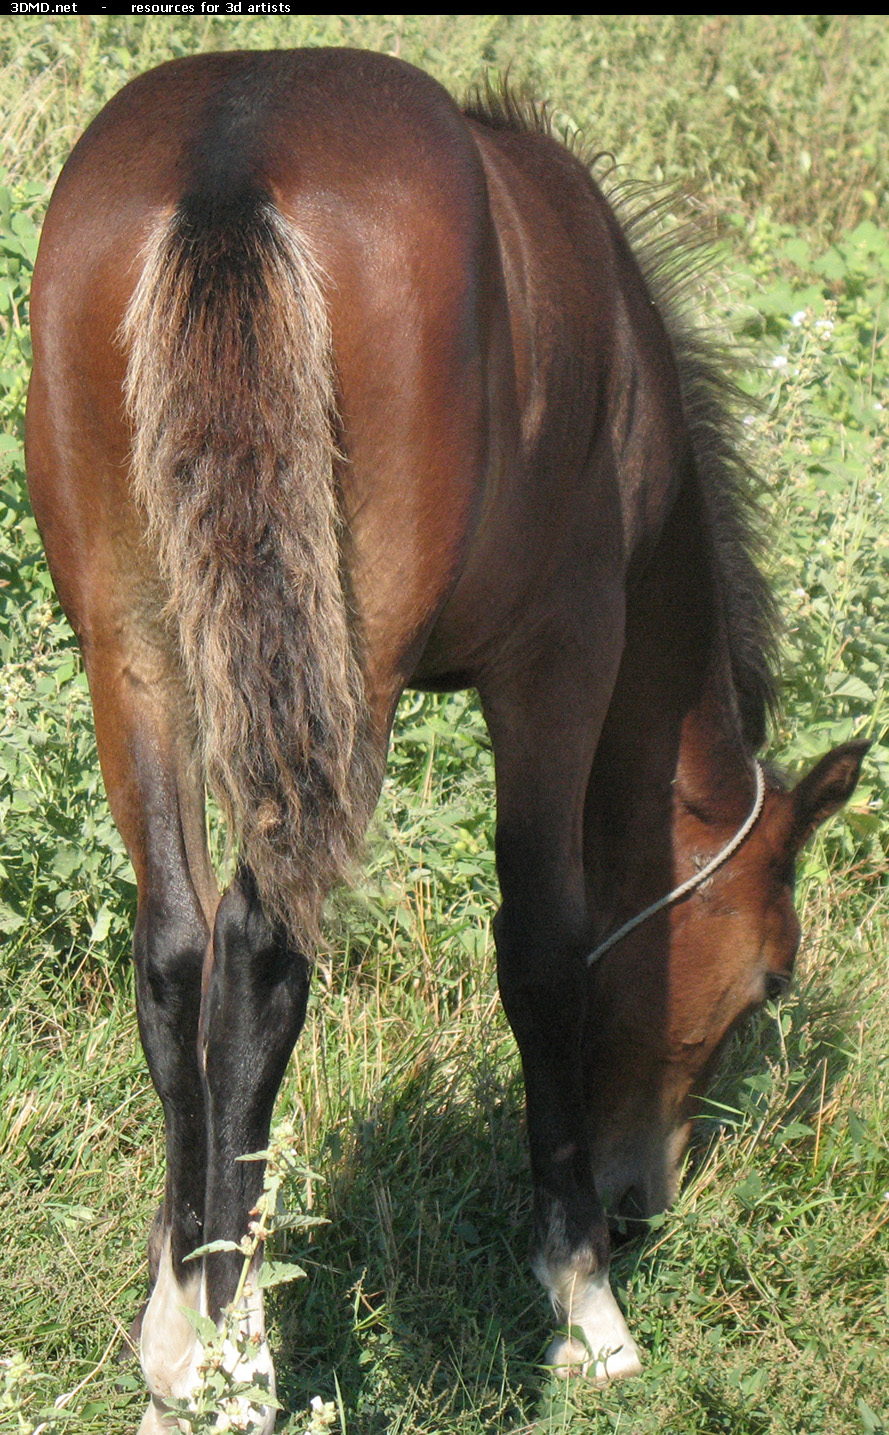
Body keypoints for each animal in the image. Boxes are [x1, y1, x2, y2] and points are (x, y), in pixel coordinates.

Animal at [25, 44, 860, 1435]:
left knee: (178, 953)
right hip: (343, 667)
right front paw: (582, 1296)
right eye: (767, 984)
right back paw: (240, 1359)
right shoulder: (559, 660)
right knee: (260, 957)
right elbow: (544, 950)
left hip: (132, 643)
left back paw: (182, 1338)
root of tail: (230, 155)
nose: (641, 1196)